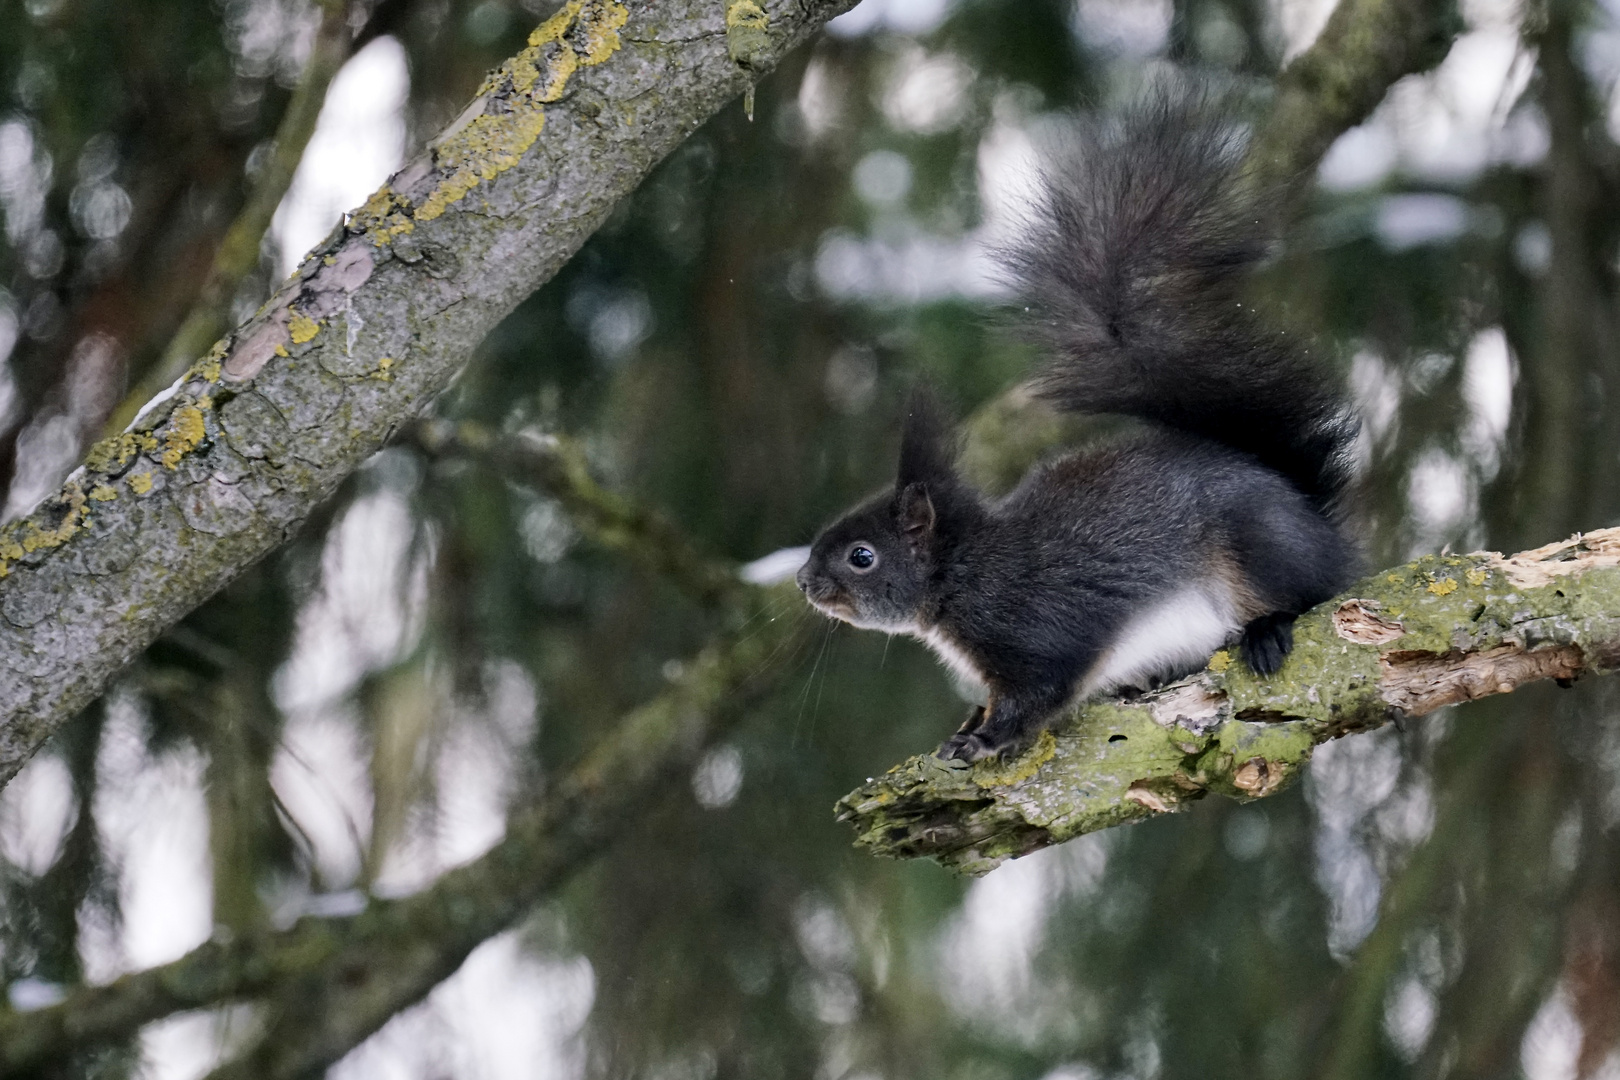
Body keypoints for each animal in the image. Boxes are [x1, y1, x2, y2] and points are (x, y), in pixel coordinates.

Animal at [790, 88, 1360, 764]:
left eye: (862, 556)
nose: (802, 581)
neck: (967, 572)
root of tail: (1313, 517)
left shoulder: (1039, 634)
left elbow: (1037, 696)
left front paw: (983, 739)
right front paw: (969, 721)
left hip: (1261, 548)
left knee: (1309, 591)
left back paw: (1269, 628)